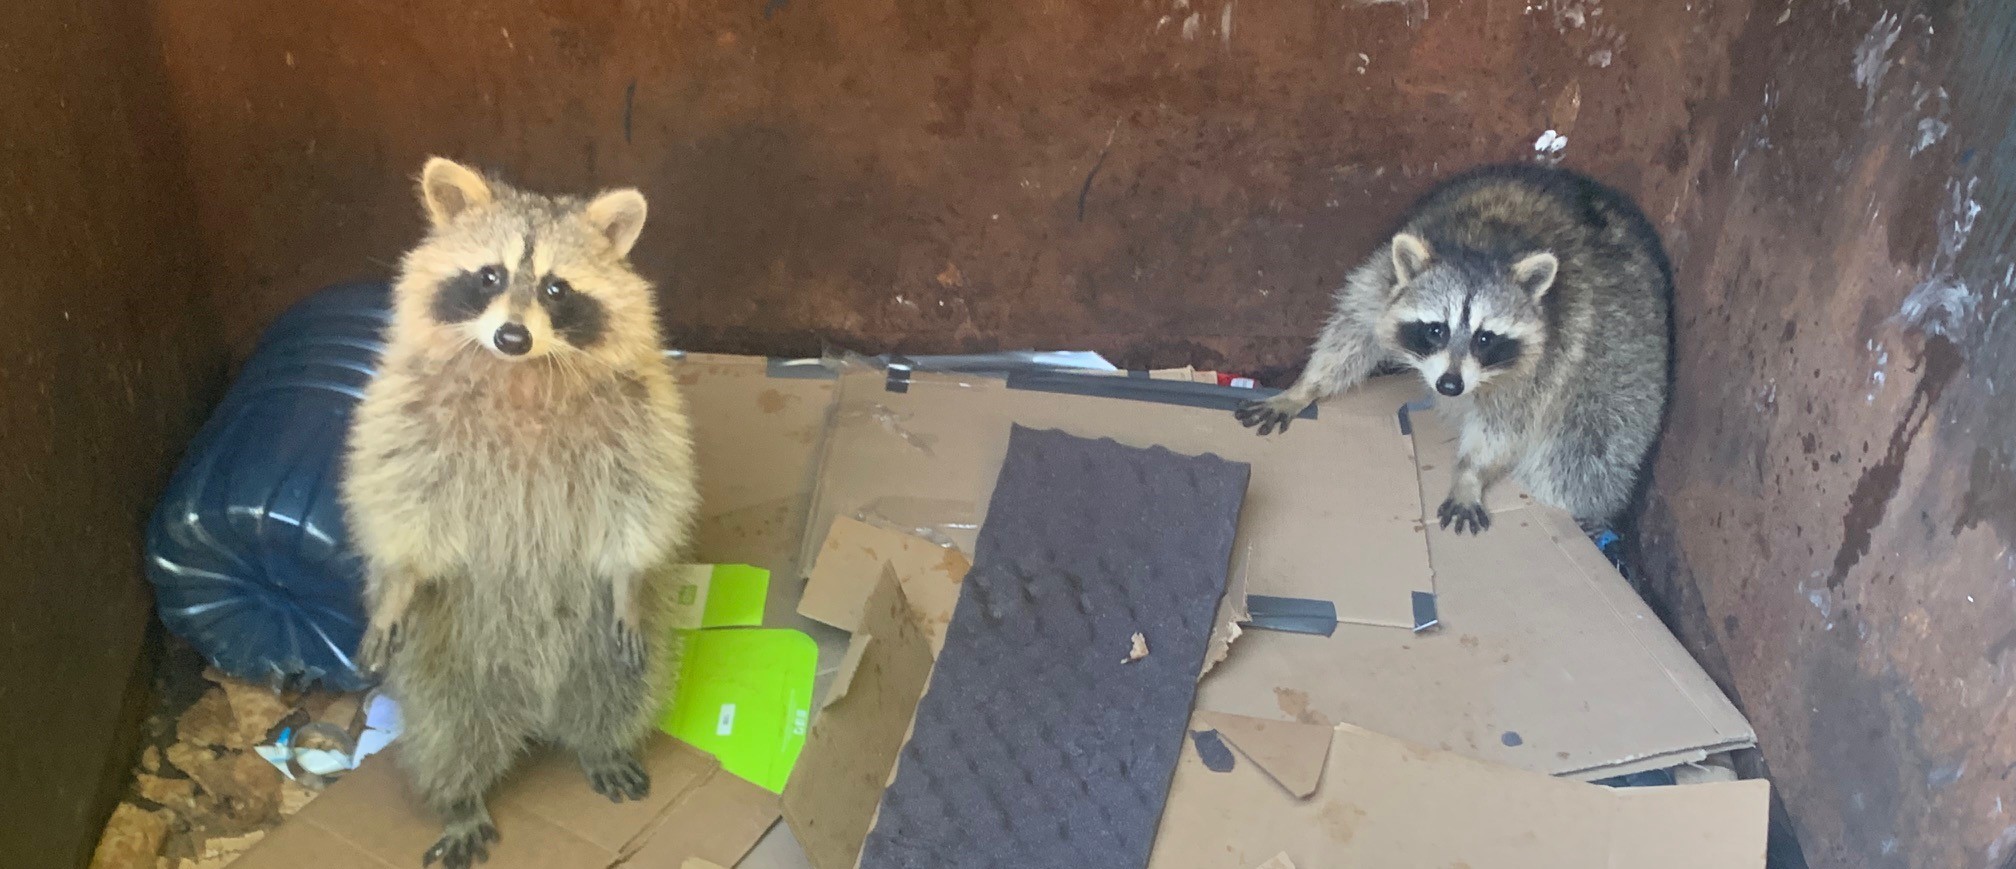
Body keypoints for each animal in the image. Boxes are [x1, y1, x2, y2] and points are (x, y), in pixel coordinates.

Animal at [341, 158, 698, 868]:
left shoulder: (642, 412)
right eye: (490, 277)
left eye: (558, 289)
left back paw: (602, 742)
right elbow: (404, 496)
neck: (522, 370)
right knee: (447, 728)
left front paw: (628, 575)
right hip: (446, 650)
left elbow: (642, 498)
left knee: (616, 690)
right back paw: (459, 800)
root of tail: (535, 709)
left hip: (600, 647)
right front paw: (398, 582)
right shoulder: (406, 407)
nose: (512, 335)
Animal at [1236, 164, 1672, 536]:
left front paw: (1469, 471)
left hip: (1620, 360)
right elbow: (1353, 332)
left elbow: (1506, 422)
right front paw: (1304, 387)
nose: (1449, 386)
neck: (1484, 246)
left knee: (1583, 455)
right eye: (1436, 330)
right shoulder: (1382, 280)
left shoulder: (1552, 351)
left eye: (1485, 338)